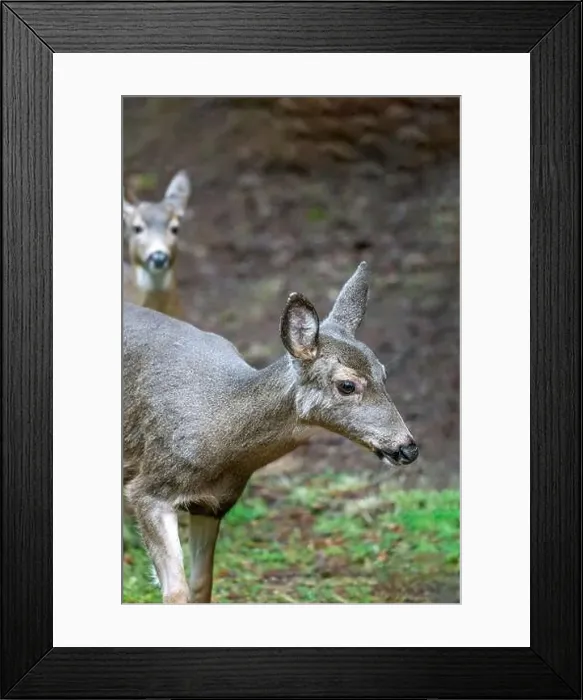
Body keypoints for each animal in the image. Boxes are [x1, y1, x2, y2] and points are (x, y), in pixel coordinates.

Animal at [123, 262, 419, 603]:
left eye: (383, 374)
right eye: (347, 385)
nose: (408, 448)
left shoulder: (214, 504)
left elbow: (202, 584)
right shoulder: (149, 489)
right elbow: (176, 592)